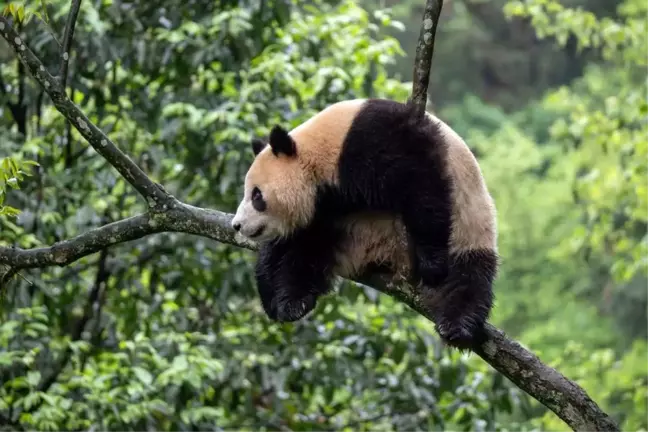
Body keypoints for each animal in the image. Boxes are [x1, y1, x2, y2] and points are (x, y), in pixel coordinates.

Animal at [233, 98, 502, 348]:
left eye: (256, 196)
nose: (237, 225)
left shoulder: (380, 140)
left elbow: (422, 188)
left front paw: (432, 265)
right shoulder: (325, 205)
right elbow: (297, 242)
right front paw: (277, 295)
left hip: (469, 229)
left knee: (468, 278)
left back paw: (457, 326)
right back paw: (293, 302)